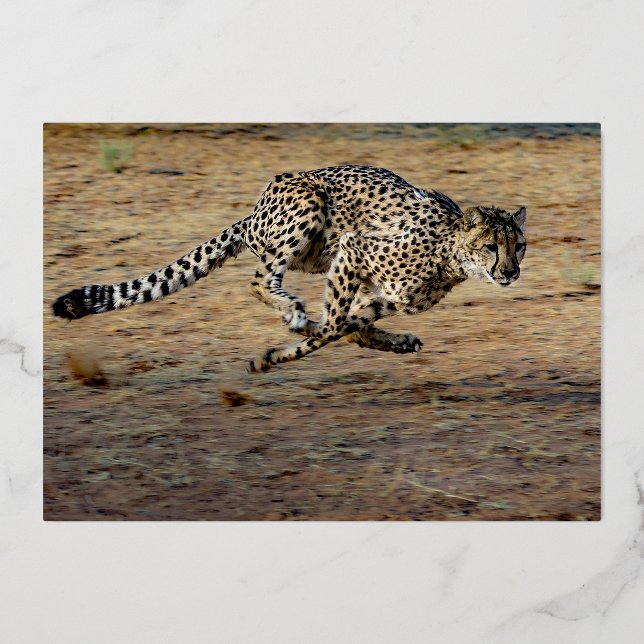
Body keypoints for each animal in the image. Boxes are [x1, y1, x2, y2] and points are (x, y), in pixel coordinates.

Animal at [52, 165, 527, 372]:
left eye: (518, 246)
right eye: (490, 246)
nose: (510, 272)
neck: (450, 254)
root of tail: (254, 210)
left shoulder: (385, 296)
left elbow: (347, 328)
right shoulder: (354, 249)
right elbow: (333, 326)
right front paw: (281, 348)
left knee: (341, 322)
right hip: (309, 207)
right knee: (260, 279)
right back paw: (293, 312)